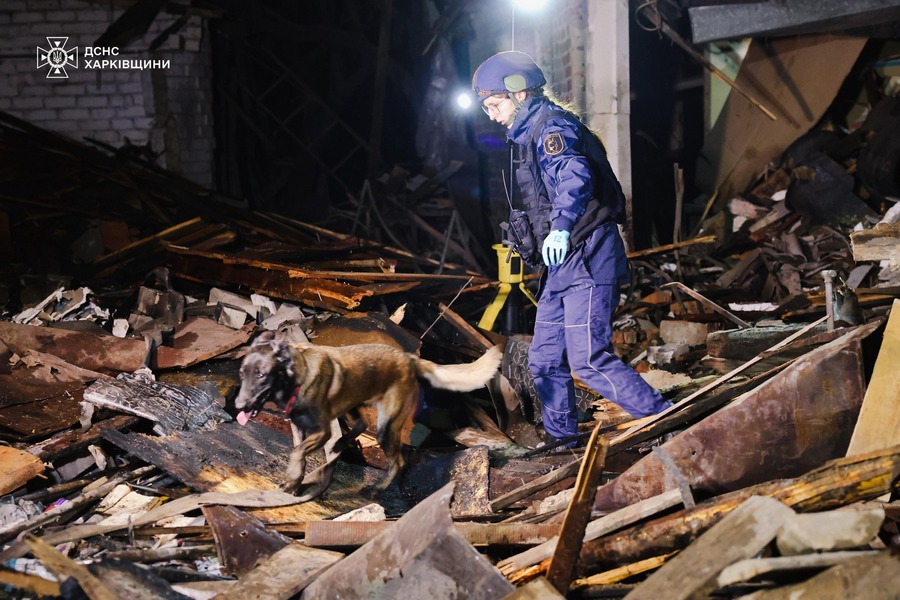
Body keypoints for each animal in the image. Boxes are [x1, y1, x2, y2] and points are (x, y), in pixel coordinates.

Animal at [234, 332, 502, 497]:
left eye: (261, 375)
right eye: (242, 372)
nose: (238, 404)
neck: (294, 378)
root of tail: (409, 358)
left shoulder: (321, 431)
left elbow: (297, 452)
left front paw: (292, 480)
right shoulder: (298, 427)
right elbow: (297, 452)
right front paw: (295, 480)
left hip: (385, 427)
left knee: (398, 462)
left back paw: (378, 488)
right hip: (354, 403)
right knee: (361, 424)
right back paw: (342, 442)